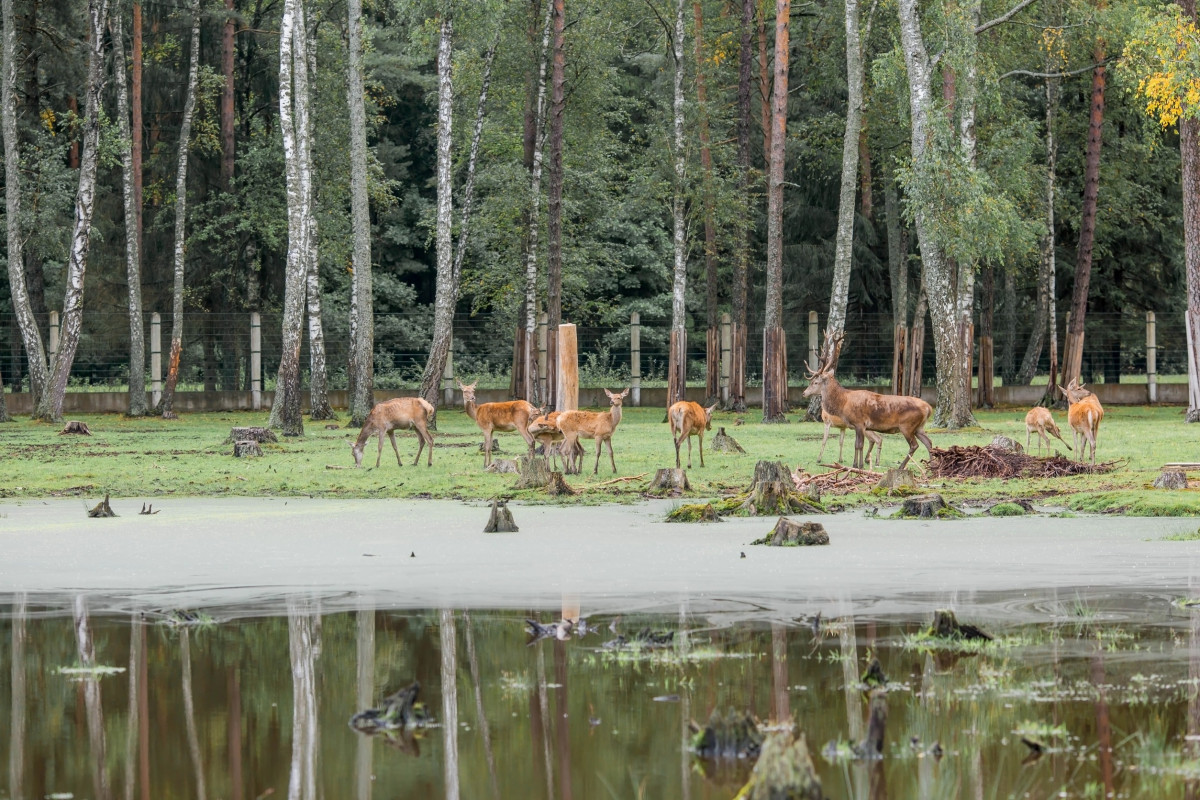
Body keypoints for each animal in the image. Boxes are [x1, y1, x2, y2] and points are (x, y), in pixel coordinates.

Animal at [801, 343, 931, 470]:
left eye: (815, 382)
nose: (804, 393)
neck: (843, 404)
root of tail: (928, 407)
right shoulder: (856, 425)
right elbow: (856, 444)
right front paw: (854, 465)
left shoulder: (860, 423)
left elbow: (859, 444)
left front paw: (860, 466)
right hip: (919, 428)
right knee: (929, 442)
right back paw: (931, 465)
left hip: (907, 426)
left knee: (914, 445)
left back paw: (902, 466)